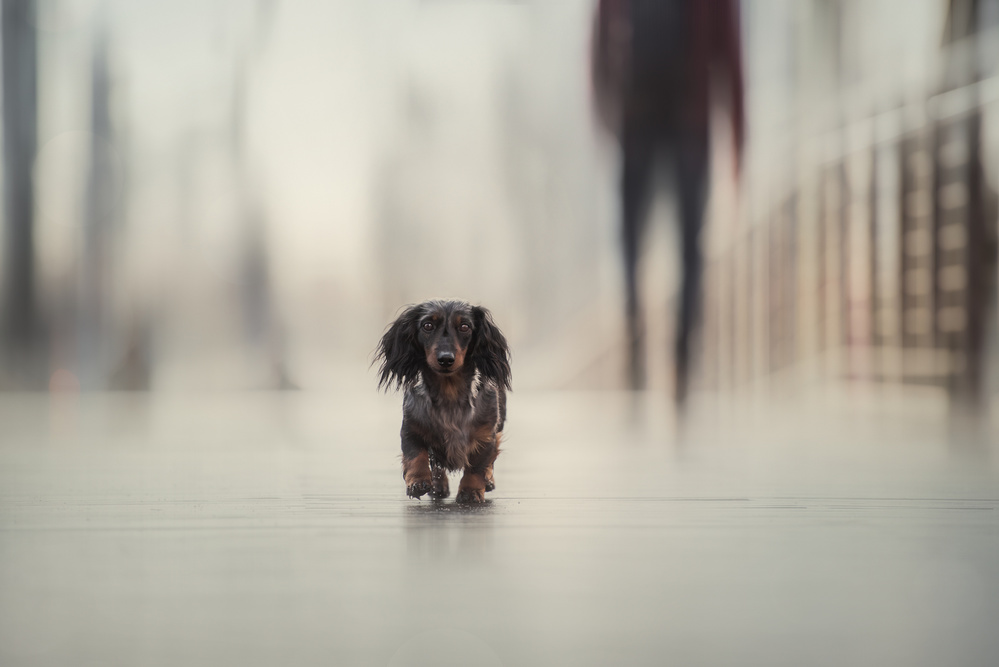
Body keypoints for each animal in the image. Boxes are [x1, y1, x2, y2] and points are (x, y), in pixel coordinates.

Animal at [376, 302, 512, 500]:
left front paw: (471, 491)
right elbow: (415, 455)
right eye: (427, 325)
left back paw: (487, 481)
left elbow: (478, 465)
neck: (450, 392)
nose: (446, 359)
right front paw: (418, 481)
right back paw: (438, 486)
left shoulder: (486, 435)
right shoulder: (411, 428)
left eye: (465, 326)